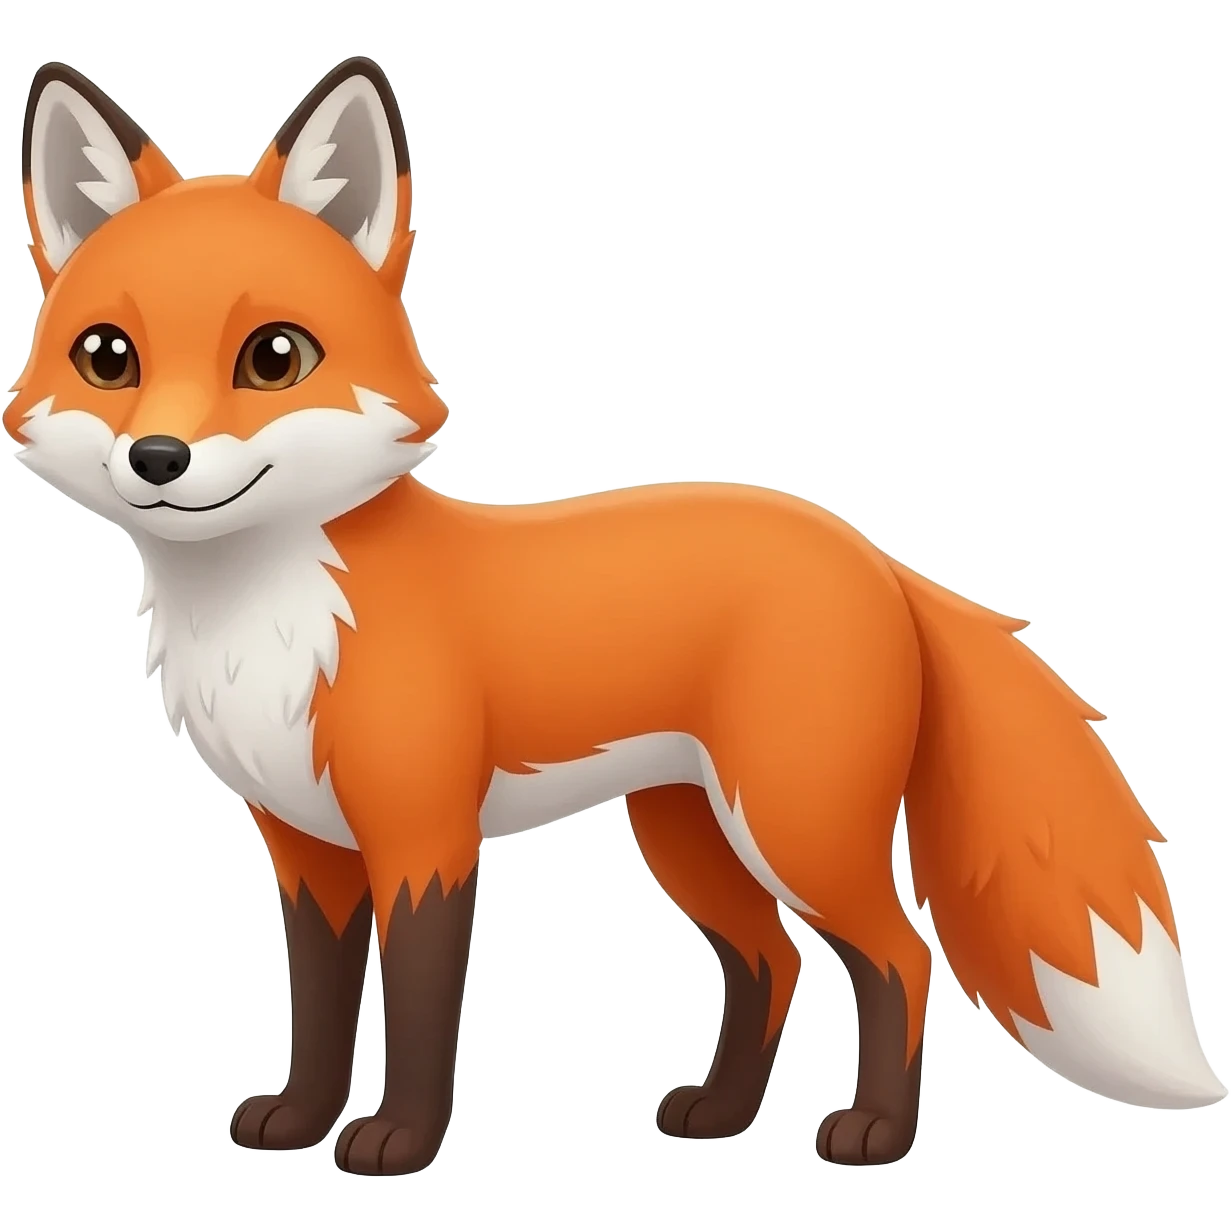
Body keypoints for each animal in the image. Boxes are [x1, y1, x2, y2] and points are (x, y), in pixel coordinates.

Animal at [7, 54, 1225, 1177]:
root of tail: (872, 554)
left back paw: (874, 1132)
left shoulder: (425, 837)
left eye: (274, 357)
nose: (158, 459)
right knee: (770, 963)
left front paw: (399, 1138)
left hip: (794, 826)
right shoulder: (305, 845)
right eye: (107, 357)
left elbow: (417, 1008)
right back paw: (720, 1115)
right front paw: (299, 1120)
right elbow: (316, 1004)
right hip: (689, 835)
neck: (268, 616)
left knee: (897, 957)